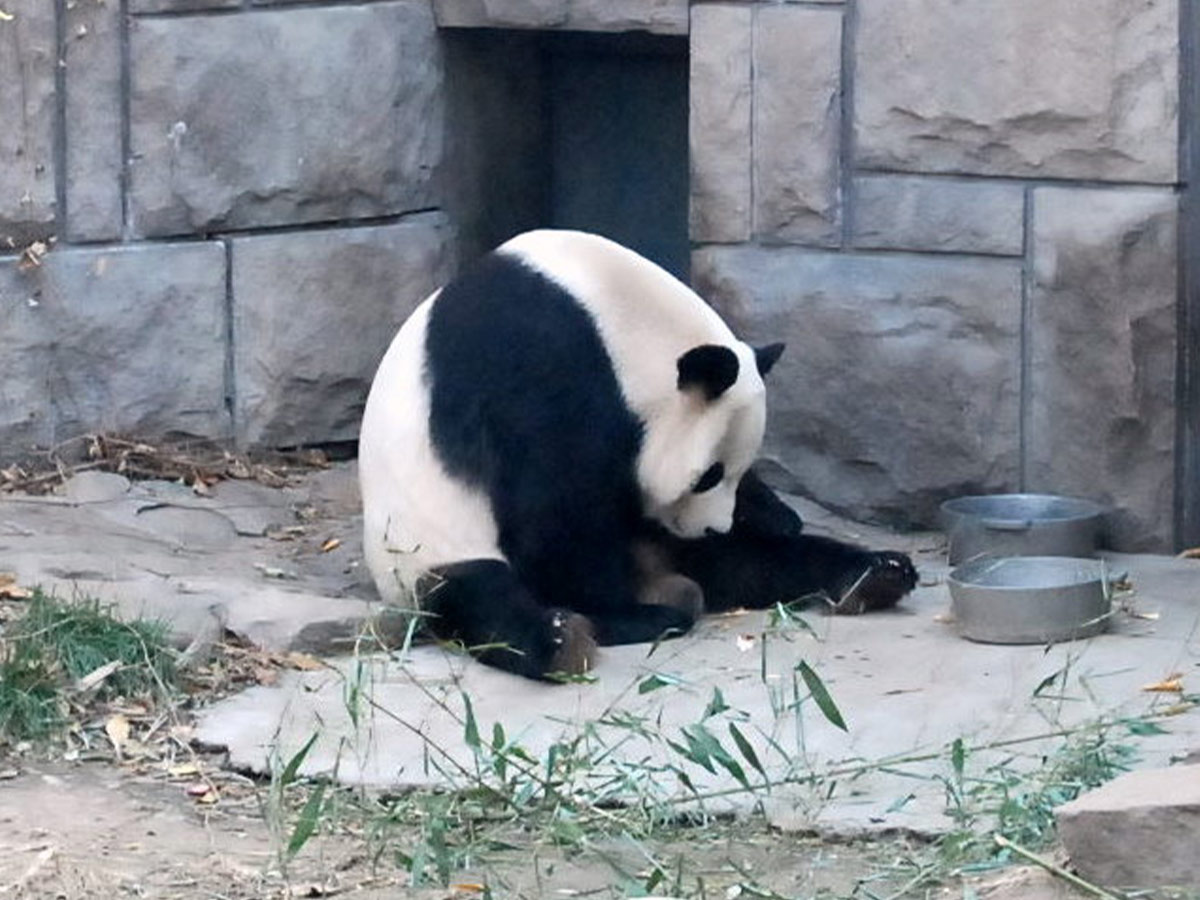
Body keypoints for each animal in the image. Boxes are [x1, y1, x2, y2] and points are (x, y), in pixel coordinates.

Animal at [359, 230, 917, 680]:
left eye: (734, 473)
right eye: (708, 475)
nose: (714, 527)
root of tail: (660, 571)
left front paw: (778, 514)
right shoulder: (536, 363)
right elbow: (553, 512)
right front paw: (610, 609)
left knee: (753, 564)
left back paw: (875, 574)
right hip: (425, 549)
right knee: (484, 599)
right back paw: (581, 634)